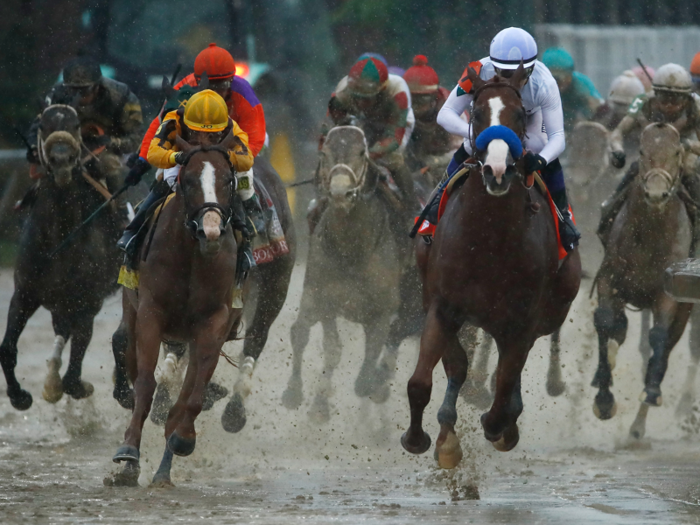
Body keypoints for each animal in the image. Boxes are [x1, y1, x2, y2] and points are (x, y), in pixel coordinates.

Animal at [113, 133, 246, 486]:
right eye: (187, 180)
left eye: (228, 180)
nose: (210, 231)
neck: (191, 257)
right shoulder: (150, 313)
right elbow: (146, 384)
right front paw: (128, 451)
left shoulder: (214, 321)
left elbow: (193, 394)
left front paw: (183, 437)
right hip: (132, 311)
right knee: (131, 359)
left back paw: (165, 465)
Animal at [402, 66, 584, 466]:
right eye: (477, 112)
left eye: (520, 114)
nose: (497, 170)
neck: (488, 238)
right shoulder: (442, 307)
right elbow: (424, 379)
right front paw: (419, 439)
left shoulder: (521, 320)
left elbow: (503, 389)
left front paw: (497, 425)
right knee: (461, 367)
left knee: (507, 374)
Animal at [592, 122, 696, 438]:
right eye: (641, 150)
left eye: (676, 152)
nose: (656, 193)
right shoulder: (610, 278)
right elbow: (605, 321)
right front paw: (603, 399)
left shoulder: (668, 294)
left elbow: (659, 337)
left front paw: (651, 392)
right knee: (617, 328)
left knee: (667, 345)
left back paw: (639, 426)